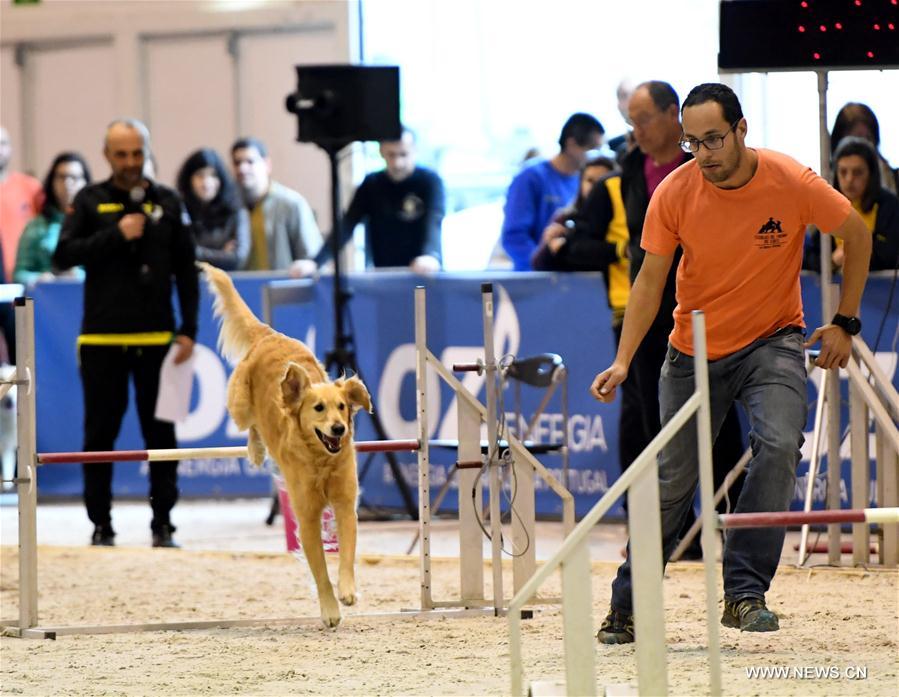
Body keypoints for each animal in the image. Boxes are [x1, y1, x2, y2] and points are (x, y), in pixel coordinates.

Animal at [201, 262, 372, 632]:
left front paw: (348, 590)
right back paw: (255, 450)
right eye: (318, 408)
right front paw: (329, 608)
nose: (339, 428)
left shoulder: (344, 502)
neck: (320, 460)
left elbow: (346, 553)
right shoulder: (306, 515)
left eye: (341, 407)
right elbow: (320, 572)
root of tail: (267, 335)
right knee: (251, 426)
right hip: (238, 406)